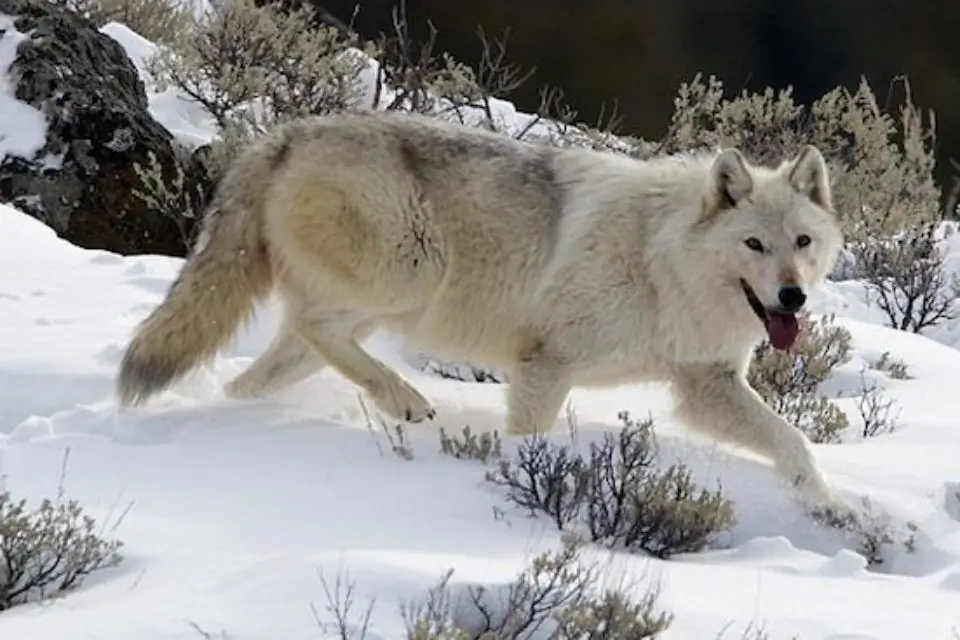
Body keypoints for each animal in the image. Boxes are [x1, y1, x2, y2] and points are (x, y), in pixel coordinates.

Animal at [116, 109, 844, 510]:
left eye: (802, 243)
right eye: (754, 244)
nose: (793, 296)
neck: (661, 262)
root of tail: (284, 134)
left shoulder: (706, 384)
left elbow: (793, 442)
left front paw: (828, 505)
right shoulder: (546, 364)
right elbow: (532, 438)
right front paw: (526, 473)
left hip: (369, 308)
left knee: (266, 366)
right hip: (412, 273)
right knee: (315, 326)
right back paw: (407, 401)